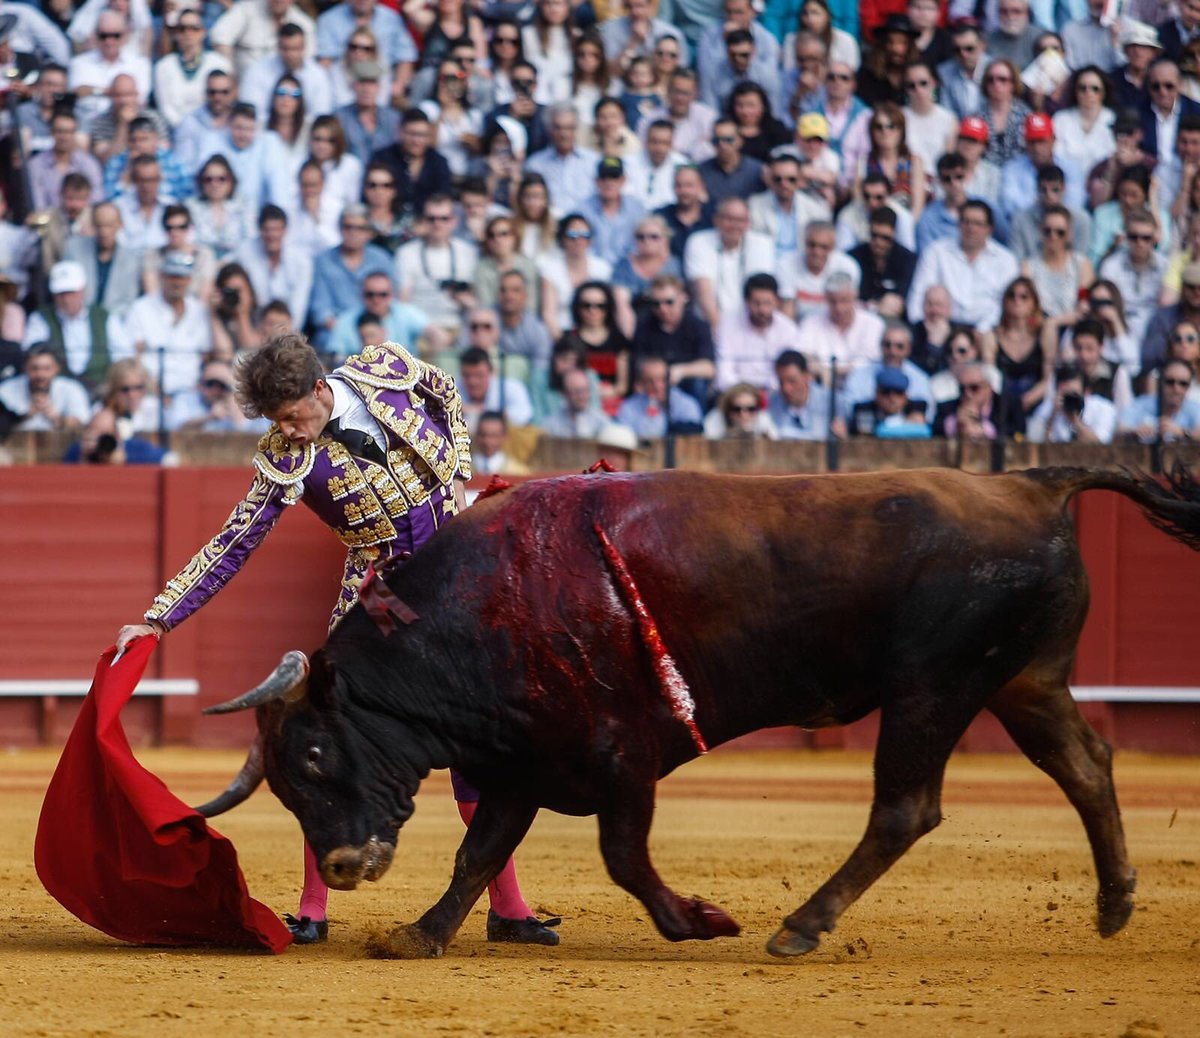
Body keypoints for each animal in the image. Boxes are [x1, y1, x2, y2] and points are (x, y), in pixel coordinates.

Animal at [196, 465, 1200, 960]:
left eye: (315, 755)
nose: (343, 865)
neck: (489, 607)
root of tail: (1031, 486)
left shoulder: (621, 758)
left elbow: (621, 856)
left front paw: (701, 921)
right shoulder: (527, 760)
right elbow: (480, 851)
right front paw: (419, 935)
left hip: (933, 686)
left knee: (906, 807)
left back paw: (800, 927)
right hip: (1024, 680)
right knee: (1087, 764)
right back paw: (1115, 902)